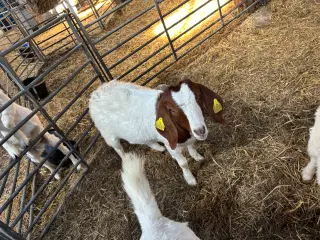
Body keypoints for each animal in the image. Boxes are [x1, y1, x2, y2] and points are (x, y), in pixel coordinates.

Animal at [89, 78, 225, 185]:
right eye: (171, 110)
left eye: (199, 97)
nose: (200, 130)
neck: (184, 133)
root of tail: (96, 93)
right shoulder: (171, 145)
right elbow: (183, 163)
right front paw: (190, 179)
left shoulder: (190, 137)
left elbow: (192, 147)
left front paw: (198, 157)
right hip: (108, 134)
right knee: (118, 149)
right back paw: (126, 158)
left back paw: (158, 147)